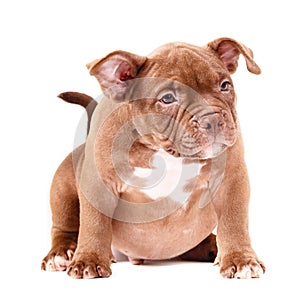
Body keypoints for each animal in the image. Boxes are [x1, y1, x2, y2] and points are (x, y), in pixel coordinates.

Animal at [41, 37, 264, 278]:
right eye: (167, 98)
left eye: (224, 85)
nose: (212, 119)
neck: (166, 152)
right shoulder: (98, 184)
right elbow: (94, 224)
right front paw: (88, 260)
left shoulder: (231, 179)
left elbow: (234, 221)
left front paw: (241, 259)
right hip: (62, 187)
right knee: (64, 226)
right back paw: (62, 254)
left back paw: (213, 247)